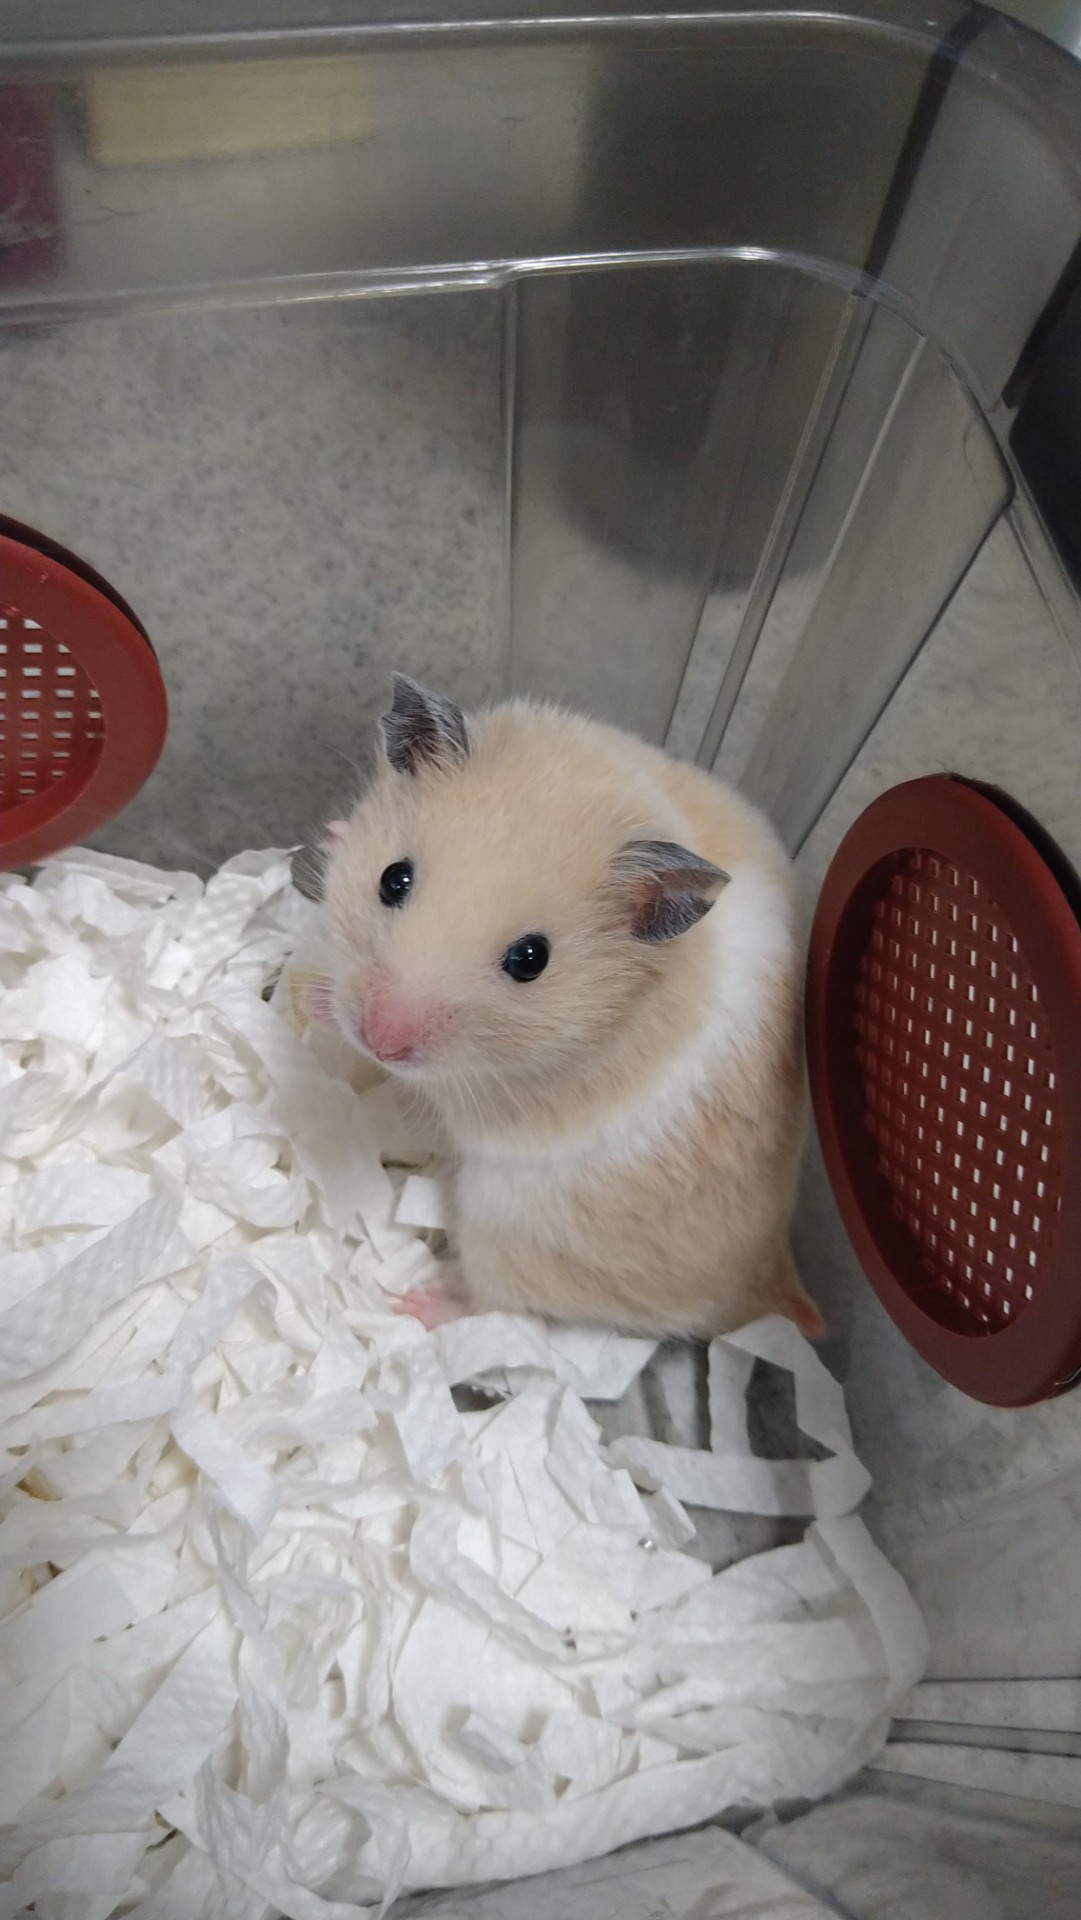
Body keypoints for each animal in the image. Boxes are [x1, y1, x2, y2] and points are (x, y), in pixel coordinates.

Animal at [312, 674, 822, 1343]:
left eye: (532, 959)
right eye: (392, 878)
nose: (379, 1038)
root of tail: (770, 1283)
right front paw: (333, 834)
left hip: (508, 1233)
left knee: (500, 1303)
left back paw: (414, 1305)